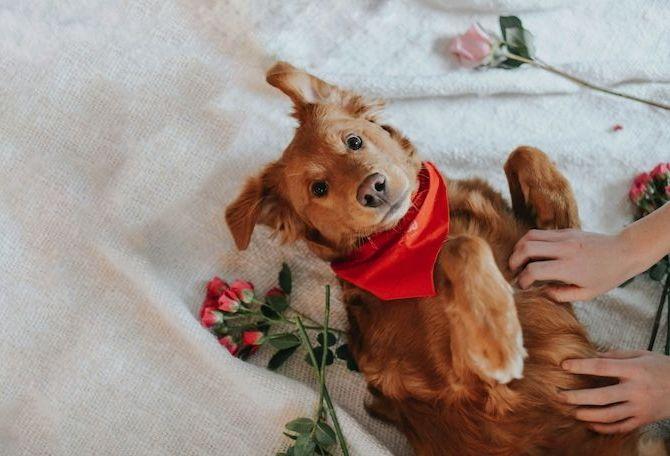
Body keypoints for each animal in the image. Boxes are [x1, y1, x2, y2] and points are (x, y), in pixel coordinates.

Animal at [226, 62, 644, 454]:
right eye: (319, 188)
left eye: (354, 140)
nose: (373, 189)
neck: (411, 231)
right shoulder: (476, 392)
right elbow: (460, 248)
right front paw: (498, 337)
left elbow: (523, 152)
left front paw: (565, 226)